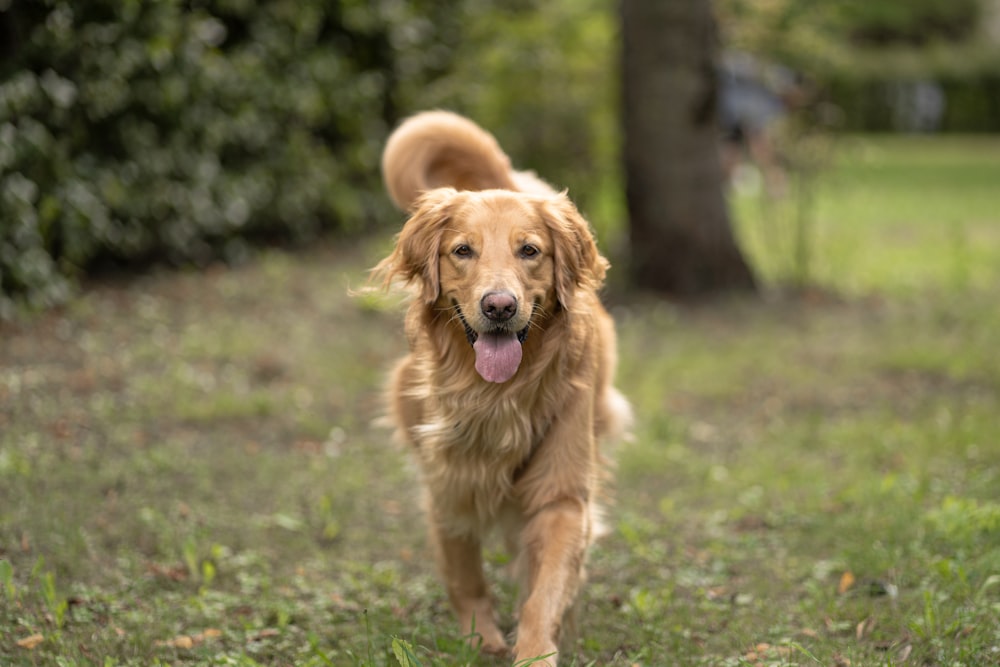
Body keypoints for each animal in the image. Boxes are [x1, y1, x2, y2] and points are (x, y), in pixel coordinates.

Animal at [376, 112, 632, 664]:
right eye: (462, 251)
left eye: (529, 250)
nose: (499, 306)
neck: (495, 397)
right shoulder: (447, 481)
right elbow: (463, 571)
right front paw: (481, 636)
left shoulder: (561, 492)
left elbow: (546, 588)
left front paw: (536, 648)